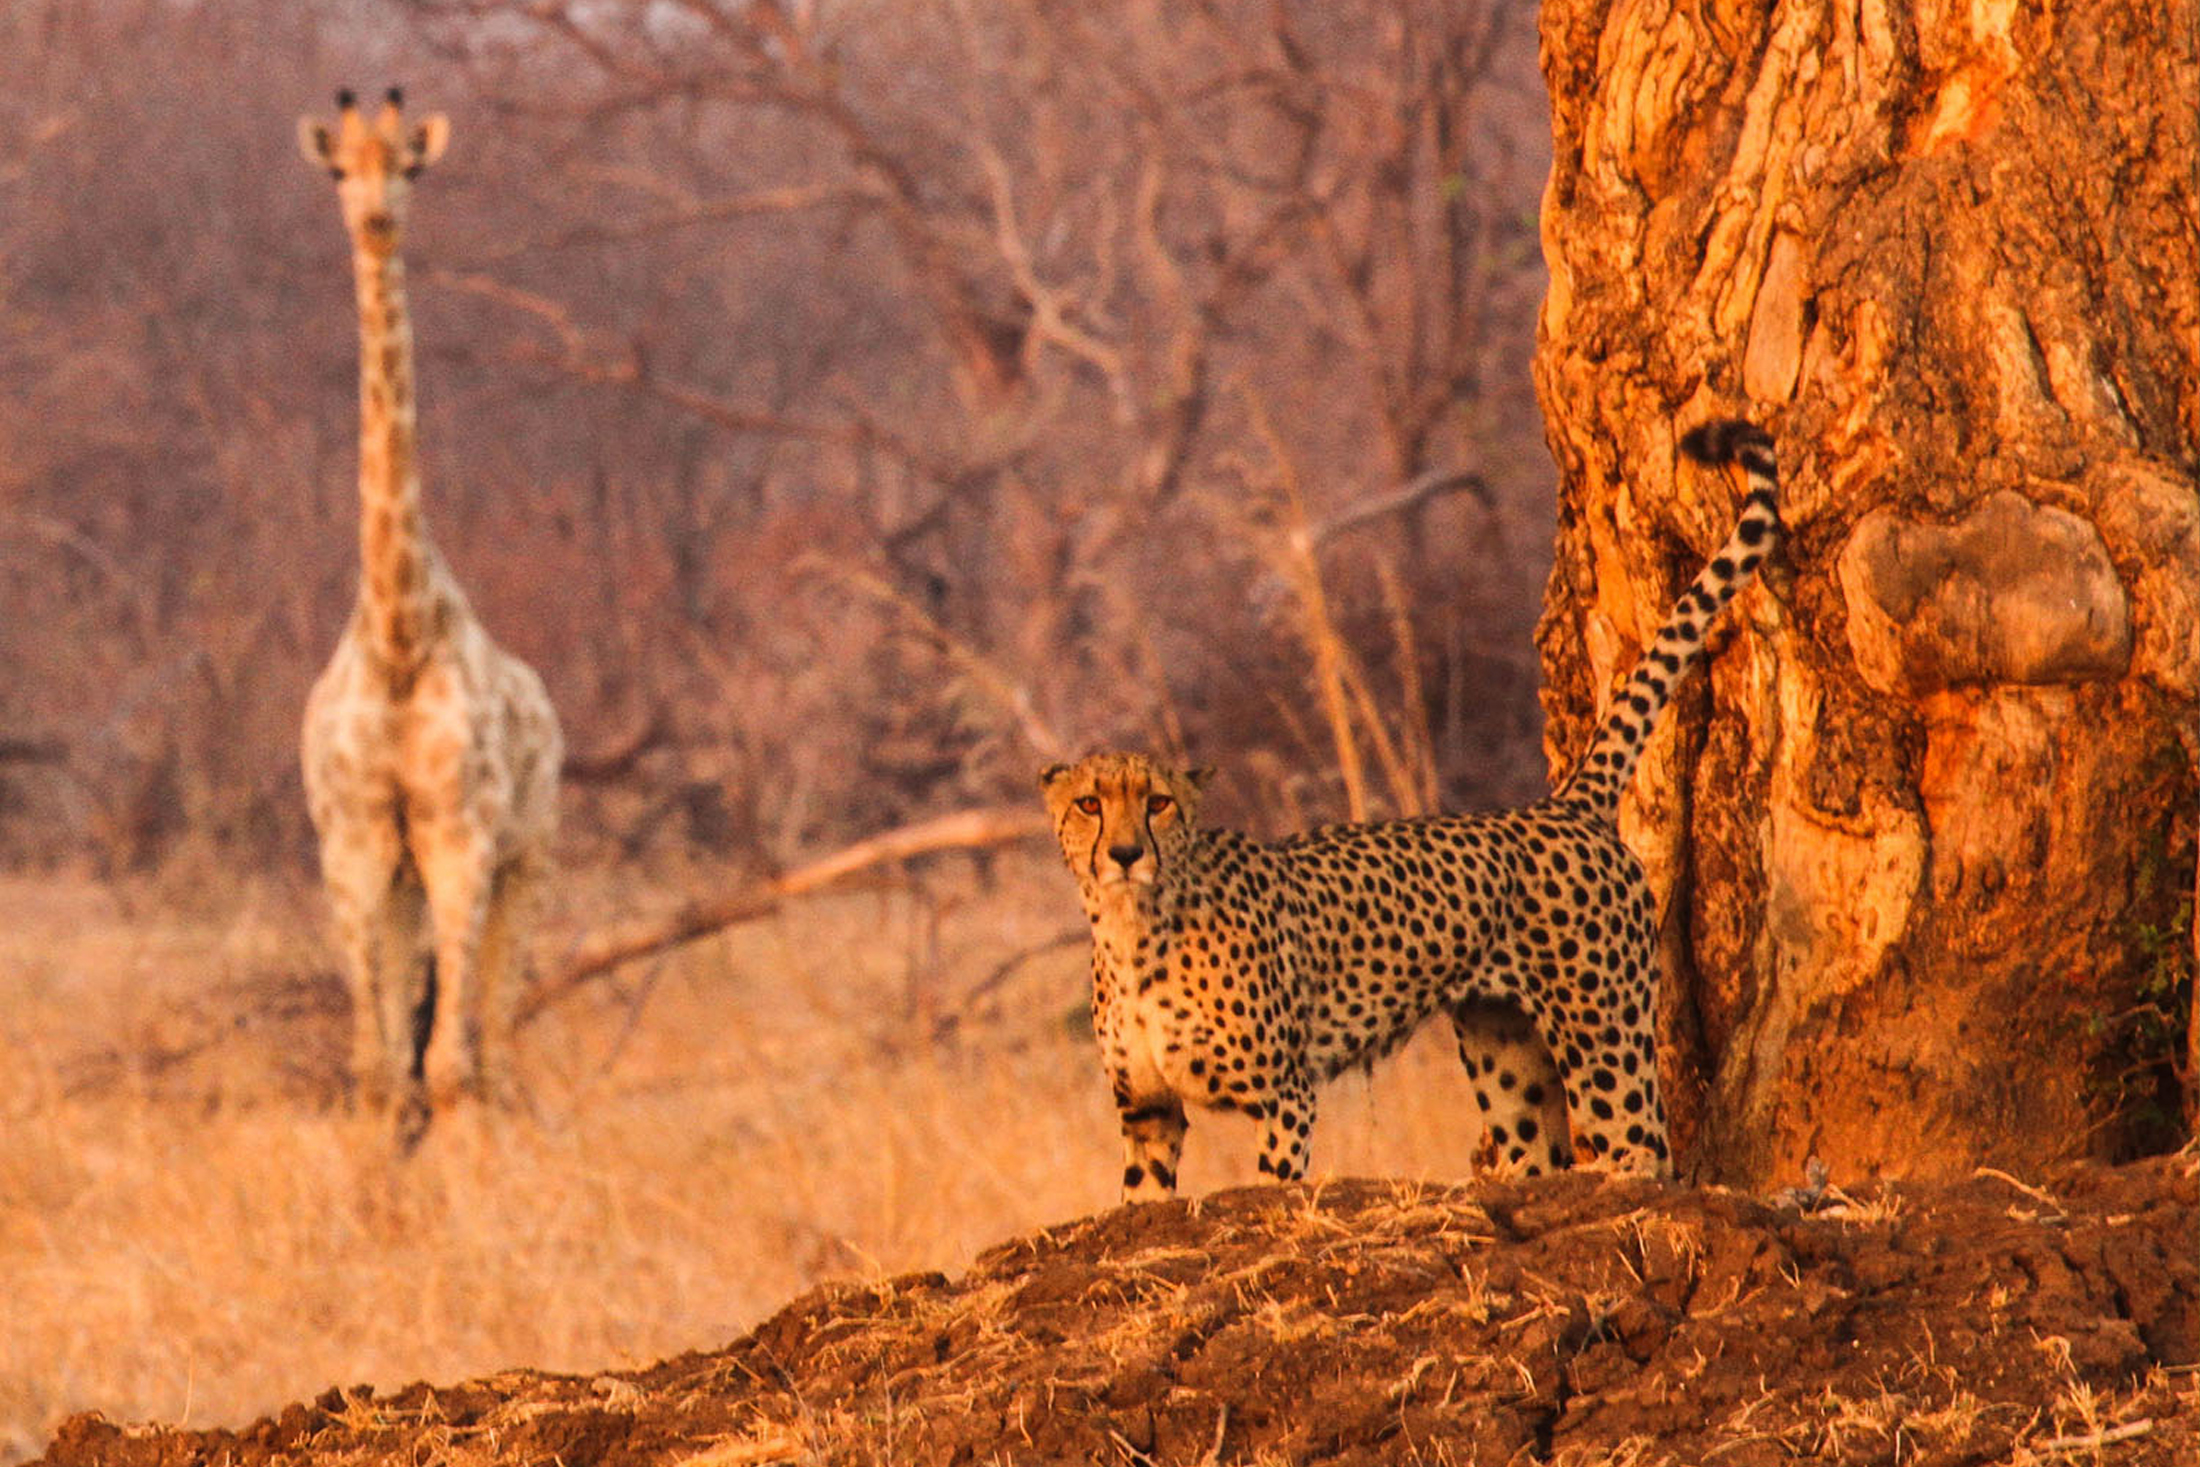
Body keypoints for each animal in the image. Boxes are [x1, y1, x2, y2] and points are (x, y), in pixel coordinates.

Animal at [297, 89, 562, 1146]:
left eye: (410, 166)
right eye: (338, 170)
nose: (374, 221)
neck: (401, 633)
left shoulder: (466, 839)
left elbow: (451, 1069)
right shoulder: (359, 847)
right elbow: (379, 1071)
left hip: (527, 859)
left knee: (492, 1055)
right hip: (404, 878)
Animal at [1041, 420, 1779, 1202]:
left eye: (1156, 803)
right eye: (1089, 803)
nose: (1124, 853)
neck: (1133, 927)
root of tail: (1562, 806)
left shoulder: (1284, 1094)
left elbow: (1275, 1183)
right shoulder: (1148, 1109)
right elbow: (1141, 1197)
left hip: (1602, 1028)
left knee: (1639, 1144)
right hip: (1502, 1042)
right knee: (1536, 1149)